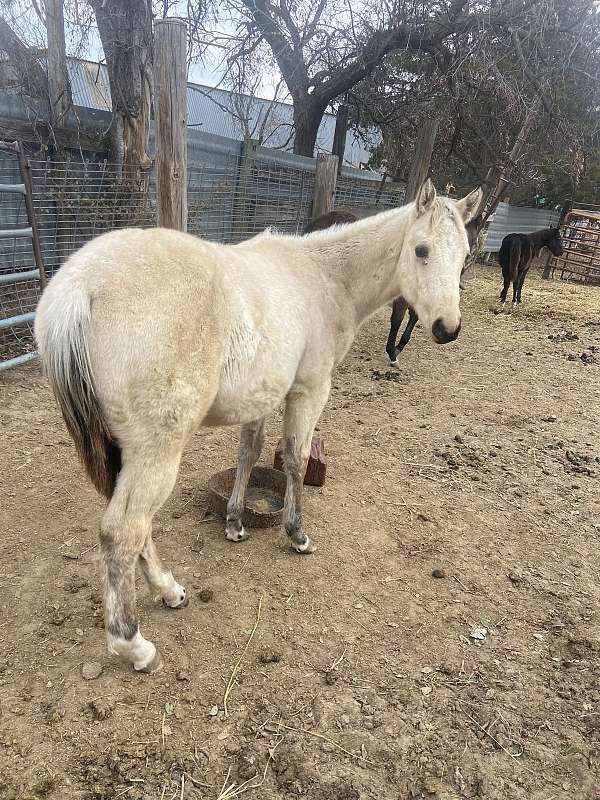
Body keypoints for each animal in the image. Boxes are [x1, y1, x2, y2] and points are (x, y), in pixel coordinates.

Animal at [34, 180, 482, 668]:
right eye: (421, 249)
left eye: (464, 255)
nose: (447, 327)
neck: (323, 280)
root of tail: (79, 289)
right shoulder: (308, 391)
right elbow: (296, 459)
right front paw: (297, 534)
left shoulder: (261, 396)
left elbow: (249, 451)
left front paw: (235, 522)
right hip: (157, 449)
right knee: (123, 530)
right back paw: (133, 644)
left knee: (137, 528)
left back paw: (169, 590)